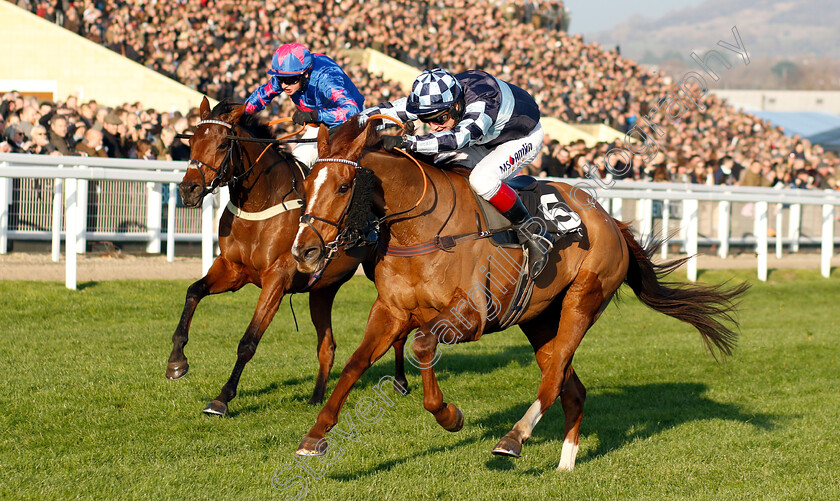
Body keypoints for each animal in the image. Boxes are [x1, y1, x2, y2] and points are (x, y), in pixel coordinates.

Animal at [167, 97, 406, 414]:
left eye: (221, 145)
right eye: (192, 141)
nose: (188, 189)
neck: (260, 204)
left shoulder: (277, 278)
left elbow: (248, 341)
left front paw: (222, 398)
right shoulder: (232, 269)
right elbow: (193, 291)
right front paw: (176, 362)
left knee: (399, 328)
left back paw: (401, 381)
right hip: (323, 289)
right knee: (327, 345)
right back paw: (317, 397)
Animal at [288, 117, 748, 468]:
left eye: (344, 186)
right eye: (306, 184)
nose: (305, 251)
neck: (421, 228)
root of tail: (609, 220)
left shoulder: (470, 316)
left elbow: (422, 345)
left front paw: (449, 415)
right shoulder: (390, 311)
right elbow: (356, 363)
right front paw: (314, 436)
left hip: (583, 301)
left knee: (555, 376)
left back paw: (515, 437)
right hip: (539, 318)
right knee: (570, 386)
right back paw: (565, 464)